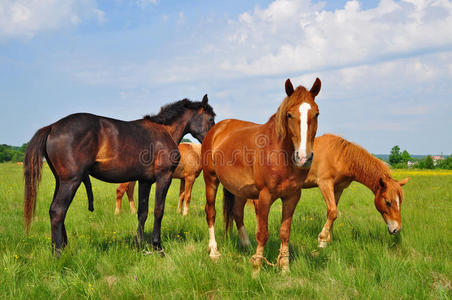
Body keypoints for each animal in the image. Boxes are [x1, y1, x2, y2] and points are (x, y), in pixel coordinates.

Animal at [22, 95, 216, 253]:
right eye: (211, 118)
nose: (211, 139)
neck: (164, 131)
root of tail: (52, 127)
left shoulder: (145, 181)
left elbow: (143, 212)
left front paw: (140, 245)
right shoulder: (164, 178)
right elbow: (158, 211)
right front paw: (157, 246)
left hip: (60, 181)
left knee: (56, 211)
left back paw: (61, 246)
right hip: (70, 181)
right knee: (58, 211)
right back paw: (58, 253)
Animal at [201, 77, 322, 274]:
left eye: (317, 114)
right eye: (289, 115)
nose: (303, 157)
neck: (279, 153)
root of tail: (217, 129)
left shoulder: (292, 196)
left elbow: (285, 232)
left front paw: (285, 268)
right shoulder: (264, 196)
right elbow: (263, 233)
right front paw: (256, 269)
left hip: (239, 190)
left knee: (237, 213)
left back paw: (246, 246)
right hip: (210, 179)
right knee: (211, 212)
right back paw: (214, 252)